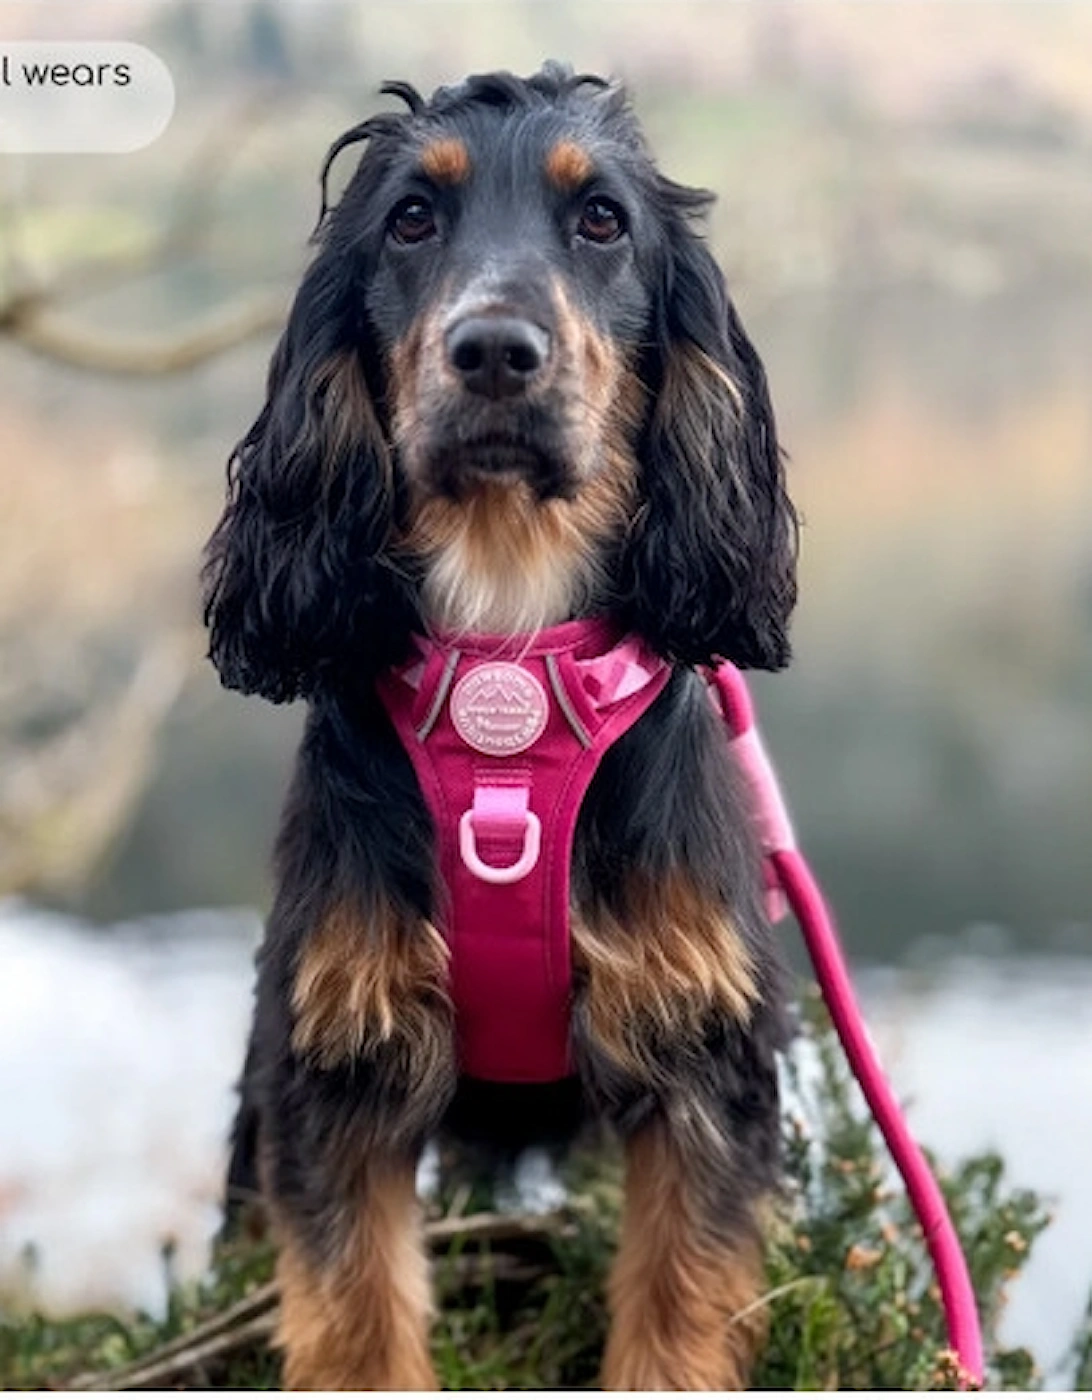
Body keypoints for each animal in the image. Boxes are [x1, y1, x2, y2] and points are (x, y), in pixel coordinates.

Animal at [204, 63, 795, 1388]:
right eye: (412, 220)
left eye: (604, 222)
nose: (493, 351)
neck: (505, 642)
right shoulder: (335, 1060)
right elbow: (356, 1319)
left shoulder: (701, 1060)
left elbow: (676, 1312)